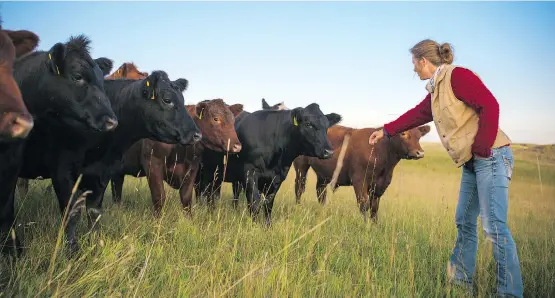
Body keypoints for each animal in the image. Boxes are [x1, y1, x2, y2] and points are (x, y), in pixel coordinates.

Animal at [111, 99, 243, 215]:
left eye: (233, 120)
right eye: (216, 118)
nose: (237, 146)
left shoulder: (192, 168)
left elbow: (186, 198)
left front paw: (189, 220)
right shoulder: (153, 164)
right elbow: (159, 197)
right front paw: (157, 222)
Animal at [195, 103, 344, 225]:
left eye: (327, 126)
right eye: (308, 124)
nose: (329, 151)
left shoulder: (277, 177)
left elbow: (268, 204)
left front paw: (267, 226)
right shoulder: (250, 173)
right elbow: (254, 202)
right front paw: (254, 226)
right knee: (203, 190)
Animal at [296, 123, 430, 221]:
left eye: (419, 136)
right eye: (403, 133)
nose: (420, 153)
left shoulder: (380, 185)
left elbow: (374, 207)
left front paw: (374, 225)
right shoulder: (359, 180)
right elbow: (364, 204)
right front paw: (365, 225)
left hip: (323, 173)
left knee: (320, 191)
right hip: (301, 165)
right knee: (299, 187)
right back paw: (298, 207)